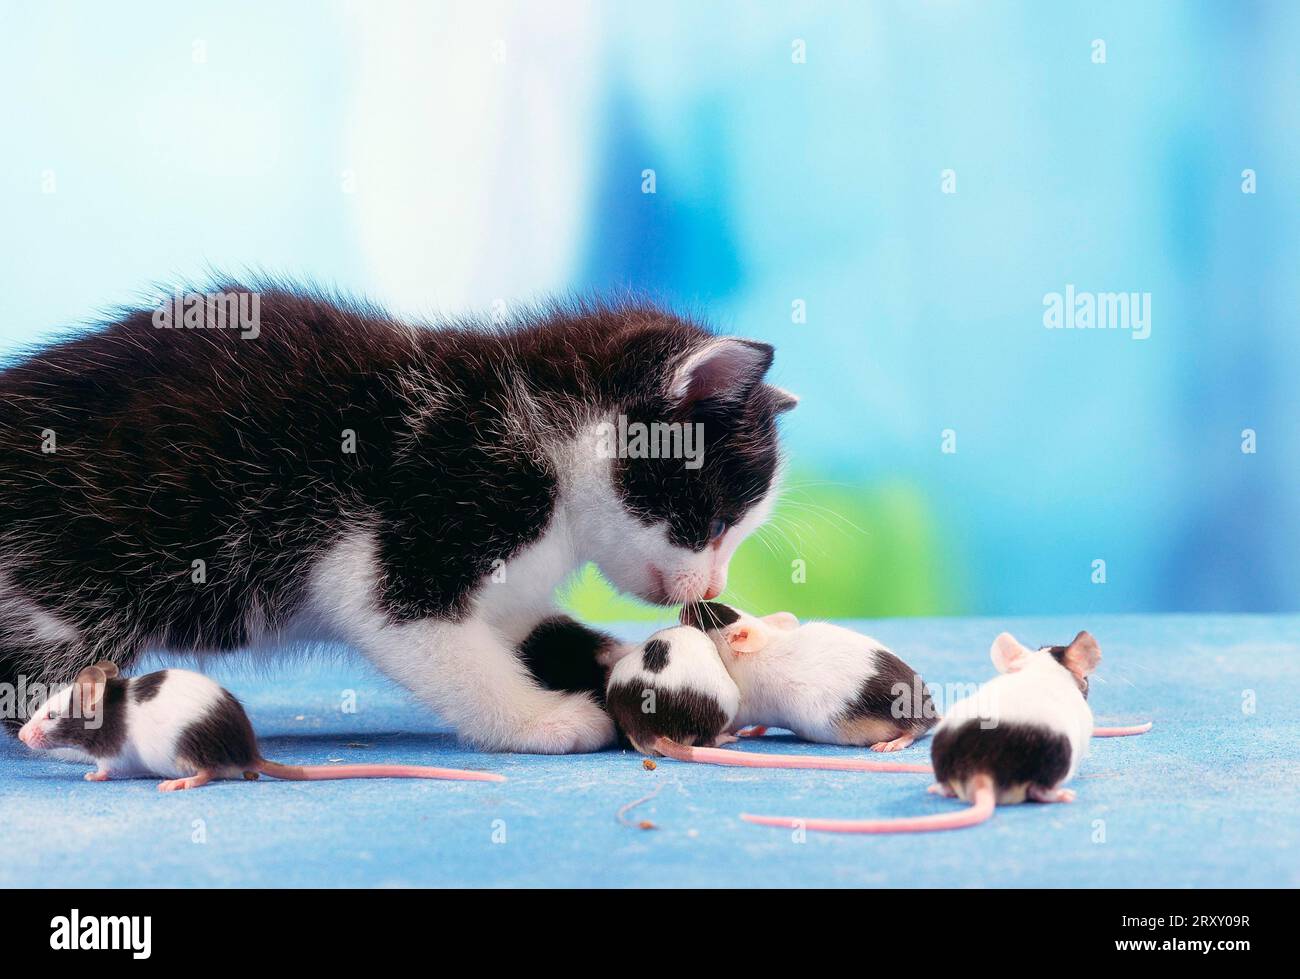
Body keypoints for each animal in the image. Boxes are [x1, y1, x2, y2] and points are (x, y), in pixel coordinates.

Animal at [0, 282, 795, 748]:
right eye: (713, 524)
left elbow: (521, 626)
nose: (710, 590)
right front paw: (542, 718)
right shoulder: (420, 518)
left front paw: (612, 657)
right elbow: (440, 643)